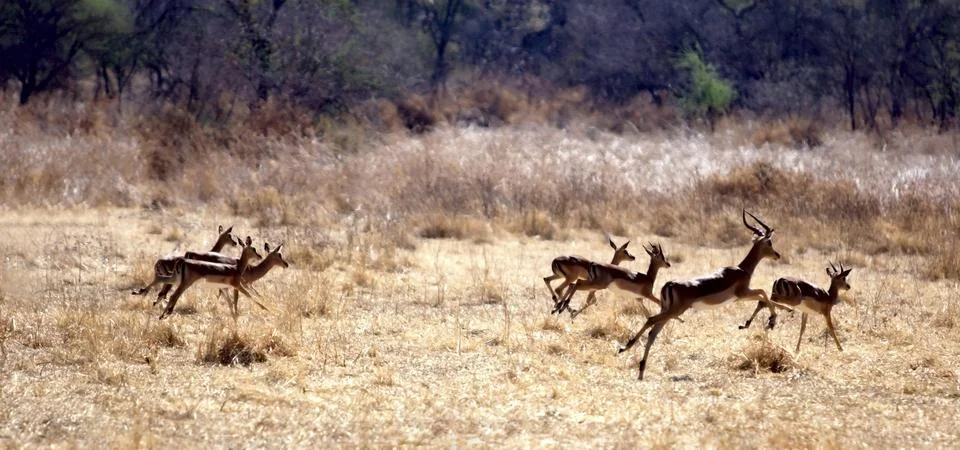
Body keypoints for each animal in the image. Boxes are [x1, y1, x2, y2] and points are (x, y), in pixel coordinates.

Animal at [618, 210, 781, 380]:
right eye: (769, 242)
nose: (777, 255)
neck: (742, 270)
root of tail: (669, 284)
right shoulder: (742, 294)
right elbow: (763, 293)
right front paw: (770, 321)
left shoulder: (739, 298)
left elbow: (763, 298)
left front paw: (747, 324)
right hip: (675, 311)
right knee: (650, 320)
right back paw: (626, 348)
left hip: (668, 311)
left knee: (653, 332)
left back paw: (640, 368)